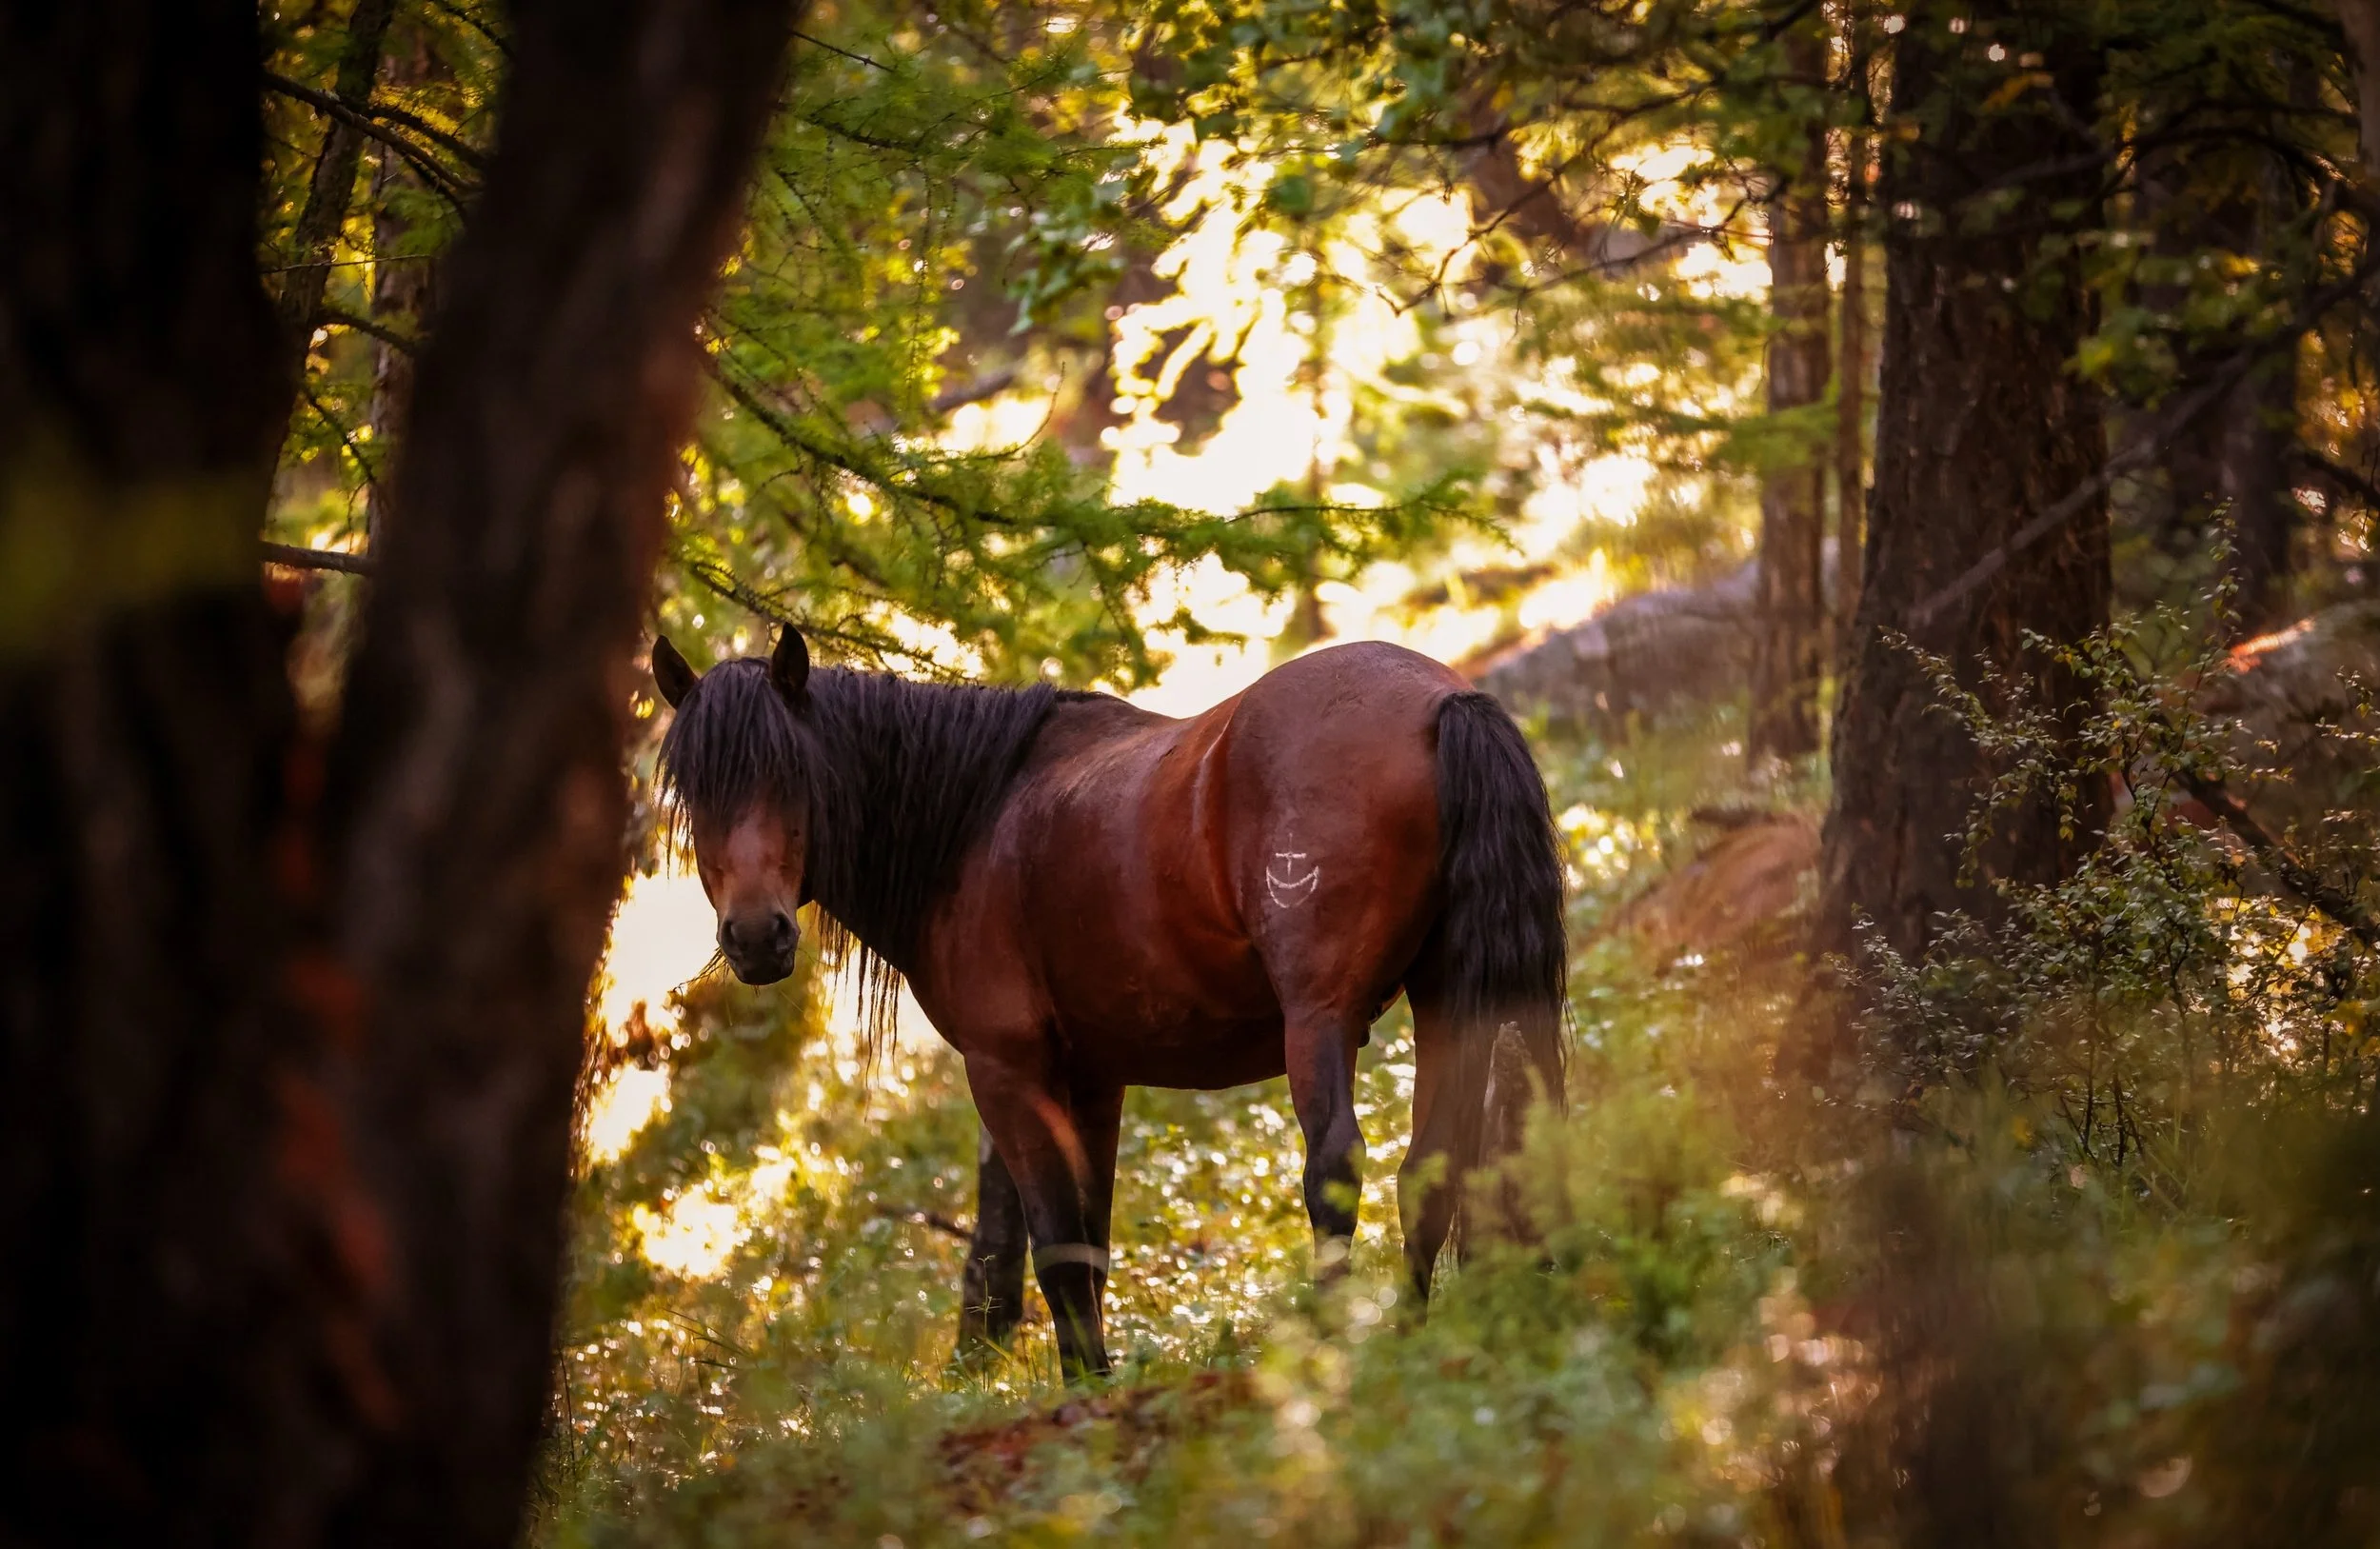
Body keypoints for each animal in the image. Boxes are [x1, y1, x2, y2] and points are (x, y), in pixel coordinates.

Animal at [649, 626, 1566, 1378]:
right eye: (694, 787)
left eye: (789, 771)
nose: (756, 937)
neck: (974, 821)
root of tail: (1441, 701)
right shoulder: (1096, 1079)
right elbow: (1090, 1242)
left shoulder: (1009, 1072)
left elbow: (1056, 1244)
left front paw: (1087, 1393)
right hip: (1445, 1001)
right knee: (1433, 1166)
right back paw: (1414, 1332)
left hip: (1322, 1020)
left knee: (1337, 1166)